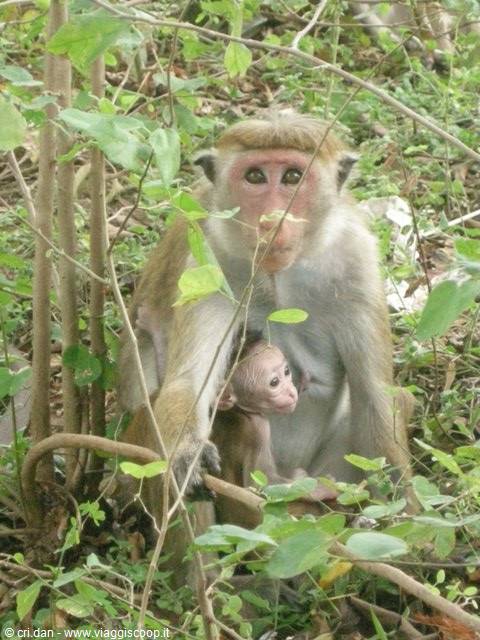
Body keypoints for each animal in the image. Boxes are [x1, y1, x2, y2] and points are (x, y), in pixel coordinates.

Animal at [118, 110, 416, 528]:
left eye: (292, 176)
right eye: (256, 176)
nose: (273, 218)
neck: (279, 277)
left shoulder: (357, 260)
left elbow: (377, 398)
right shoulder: (208, 258)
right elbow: (186, 385)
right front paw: (188, 455)